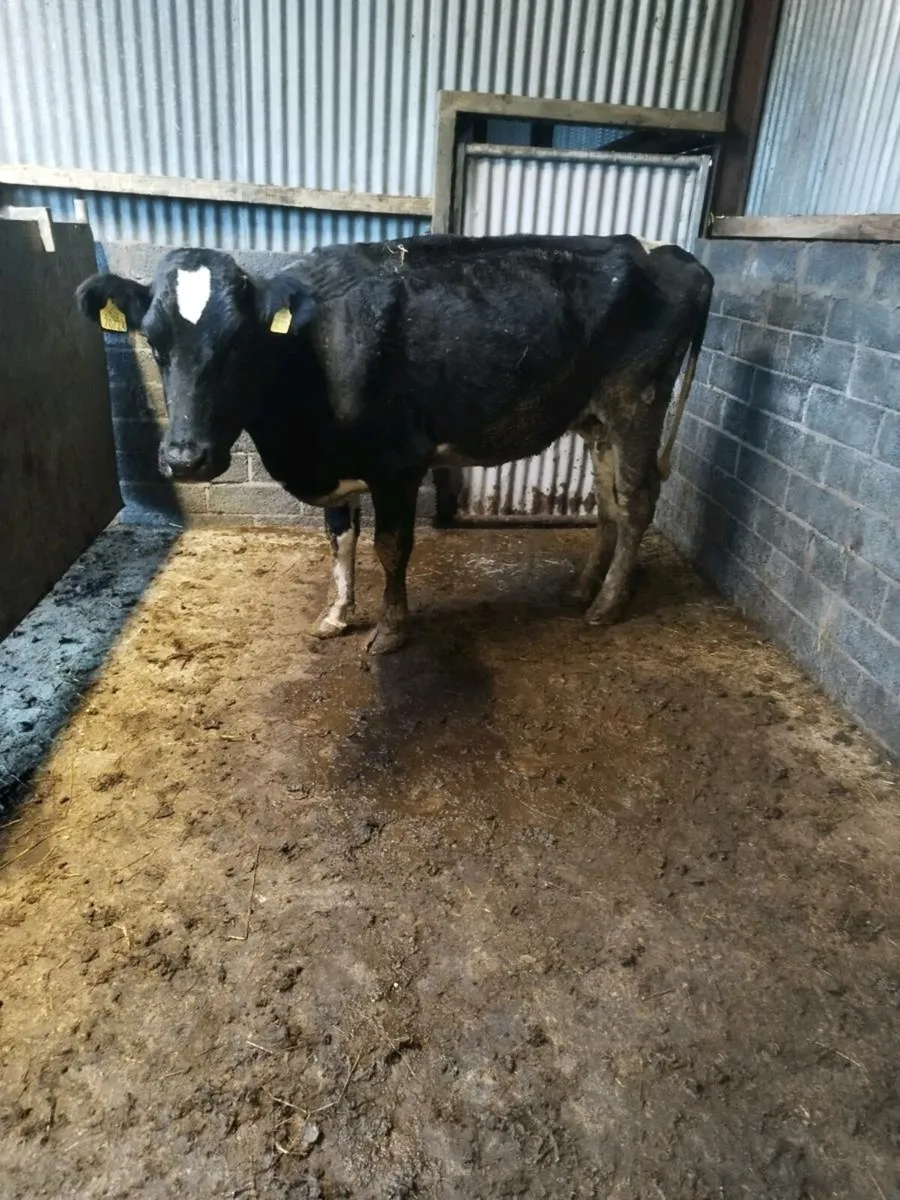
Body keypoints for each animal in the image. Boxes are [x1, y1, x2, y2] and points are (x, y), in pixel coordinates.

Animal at [76, 234, 712, 654]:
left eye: (240, 342)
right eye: (153, 341)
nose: (185, 459)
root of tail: (672, 255)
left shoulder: (399, 464)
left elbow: (391, 547)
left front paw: (390, 630)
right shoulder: (339, 467)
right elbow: (340, 538)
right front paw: (337, 614)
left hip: (637, 399)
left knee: (636, 501)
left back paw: (607, 605)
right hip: (595, 419)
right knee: (607, 500)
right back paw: (583, 587)